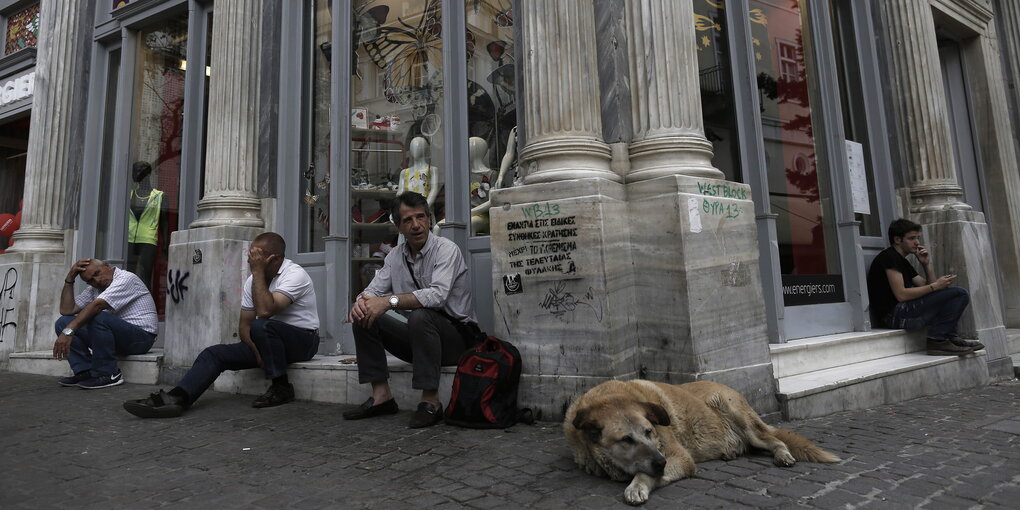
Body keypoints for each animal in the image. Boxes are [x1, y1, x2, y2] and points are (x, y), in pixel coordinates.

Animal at [563, 381, 840, 503]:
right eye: (626, 439)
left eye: (649, 431)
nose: (661, 463)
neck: (609, 396)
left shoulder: (680, 458)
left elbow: (646, 474)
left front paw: (637, 485)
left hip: (738, 414)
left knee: (773, 440)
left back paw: (782, 454)